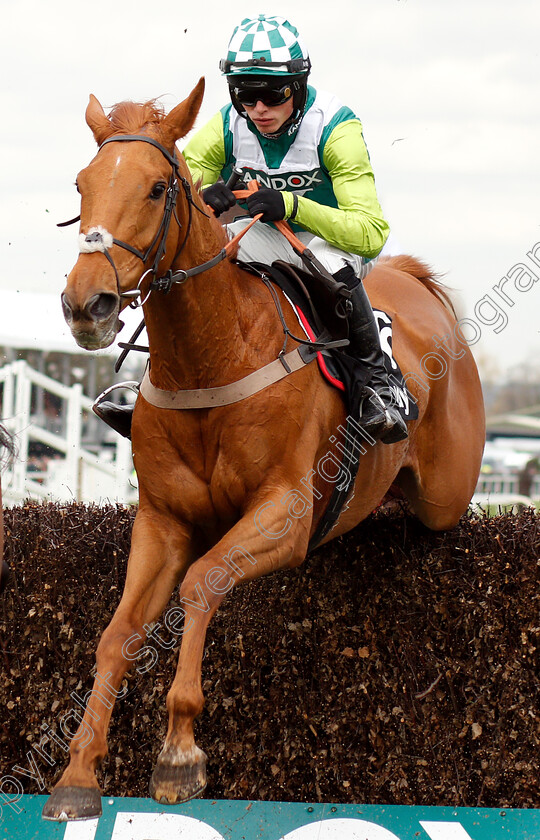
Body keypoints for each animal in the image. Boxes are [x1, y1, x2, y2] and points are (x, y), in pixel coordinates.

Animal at [44, 80, 488, 820]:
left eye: (159, 188)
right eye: (81, 183)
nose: (87, 304)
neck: (213, 355)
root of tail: (416, 286)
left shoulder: (286, 516)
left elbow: (201, 582)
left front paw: (179, 754)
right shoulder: (163, 520)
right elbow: (118, 633)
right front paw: (78, 772)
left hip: (447, 495)